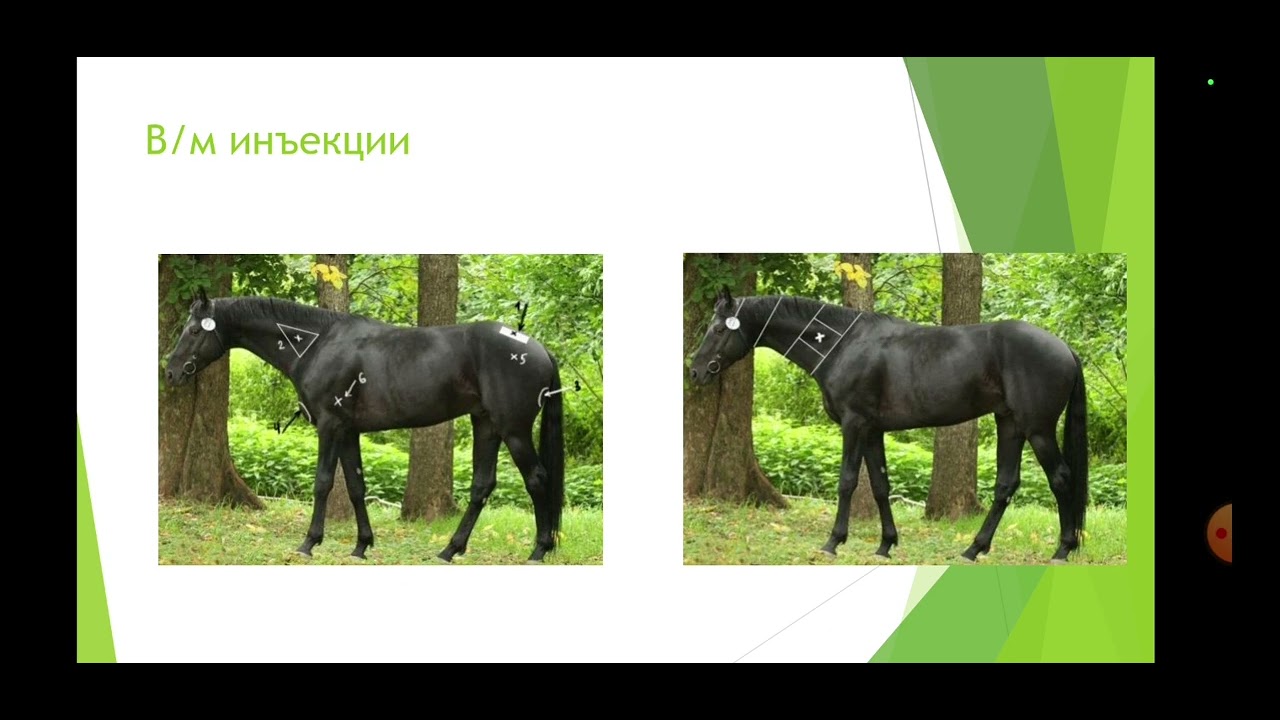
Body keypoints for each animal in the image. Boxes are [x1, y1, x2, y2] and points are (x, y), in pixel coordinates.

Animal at [162, 289, 566, 564]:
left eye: (195, 331)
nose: (170, 372)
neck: (317, 345)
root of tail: (540, 349)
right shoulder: (349, 431)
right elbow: (356, 486)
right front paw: (361, 545)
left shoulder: (329, 426)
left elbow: (324, 483)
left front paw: (309, 543)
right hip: (485, 425)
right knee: (483, 486)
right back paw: (449, 550)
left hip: (514, 430)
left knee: (537, 480)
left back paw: (538, 550)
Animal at [688, 286, 1088, 565]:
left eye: (718, 329)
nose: (695, 371)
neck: (841, 345)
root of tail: (1065, 348)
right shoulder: (873, 431)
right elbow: (880, 485)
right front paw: (885, 544)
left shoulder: (853, 425)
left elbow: (848, 482)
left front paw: (833, 542)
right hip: (1009, 425)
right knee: (1006, 485)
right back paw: (973, 549)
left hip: (1038, 430)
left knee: (1061, 478)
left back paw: (1062, 550)